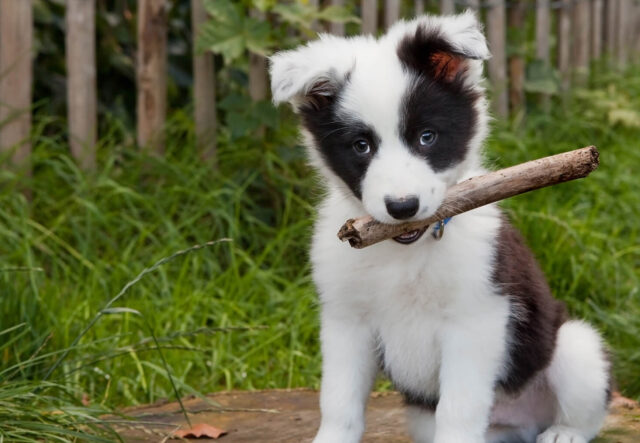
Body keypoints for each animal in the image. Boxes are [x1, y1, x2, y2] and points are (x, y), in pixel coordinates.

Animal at [268, 11, 608, 443]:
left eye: (426, 137)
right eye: (361, 146)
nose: (402, 207)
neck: (406, 254)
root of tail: (521, 424)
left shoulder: (475, 317)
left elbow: (458, 409)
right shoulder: (346, 320)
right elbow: (339, 401)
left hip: (575, 346)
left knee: (587, 408)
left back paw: (564, 432)